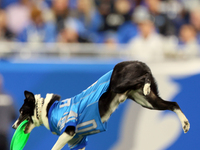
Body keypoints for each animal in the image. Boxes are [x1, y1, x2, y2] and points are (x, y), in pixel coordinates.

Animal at [11, 61, 190, 150]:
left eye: (21, 112)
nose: (13, 127)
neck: (47, 109)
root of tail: (139, 62)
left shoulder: (68, 132)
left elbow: (54, 148)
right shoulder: (77, 141)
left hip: (120, 84)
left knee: (143, 78)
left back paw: (145, 81)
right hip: (147, 101)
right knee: (173, 104)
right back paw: (185, 123)